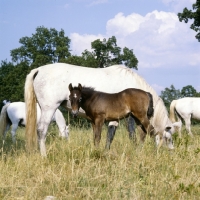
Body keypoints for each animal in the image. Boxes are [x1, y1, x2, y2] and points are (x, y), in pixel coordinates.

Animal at [24, 63, 179, 155]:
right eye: (169, 138)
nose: (172, 153)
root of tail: (39, 70)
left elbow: (110, 135)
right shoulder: (129, 117)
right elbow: (132, 134)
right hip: (49, 108)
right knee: (41, 130)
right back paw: (44, 155)